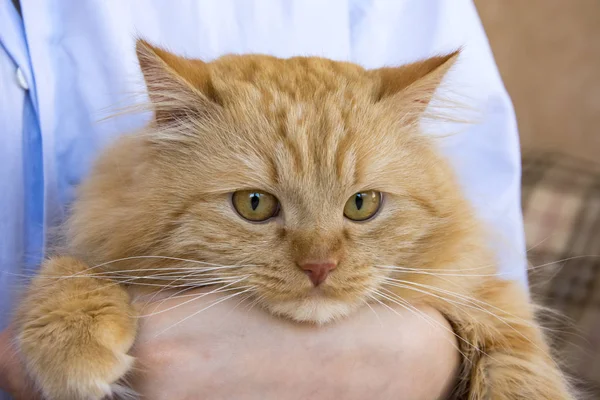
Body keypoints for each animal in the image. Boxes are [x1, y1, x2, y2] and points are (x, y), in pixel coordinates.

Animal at [16, 41, 576, 400]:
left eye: (362, 204)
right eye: (254, 204)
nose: (320, 267)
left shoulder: (476, 281)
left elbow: (517, 345)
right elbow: (68, 271)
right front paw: (74, 343)